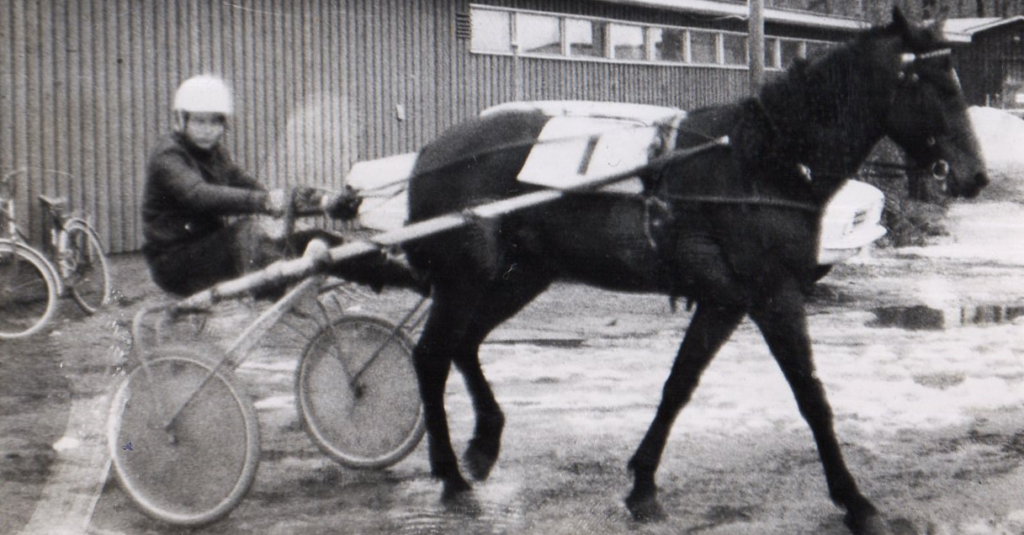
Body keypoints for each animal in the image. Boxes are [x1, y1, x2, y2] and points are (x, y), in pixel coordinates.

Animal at [401, 8, 987, 535]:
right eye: (931, 83)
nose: (976, 176)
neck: (762, 162)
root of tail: (431, 151)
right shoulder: (772, 295)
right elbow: (811, 397)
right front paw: (856, 501)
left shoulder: (725, 302)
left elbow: (679, 385)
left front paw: (642, 484)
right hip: (465, 279)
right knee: (431, 355)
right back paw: (451, 475)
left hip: (521, 275)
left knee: (464, 345)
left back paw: (483, 445)